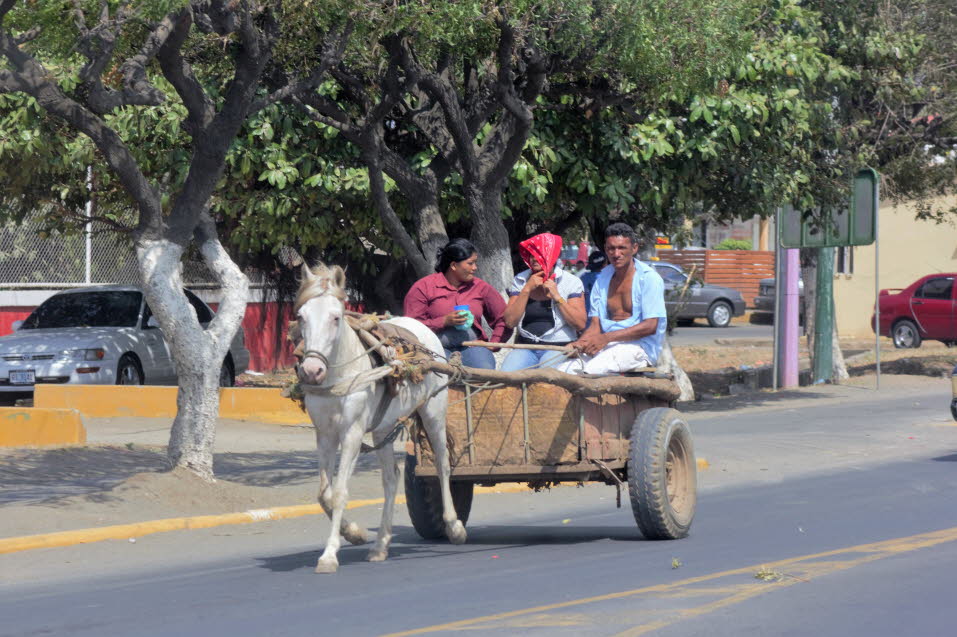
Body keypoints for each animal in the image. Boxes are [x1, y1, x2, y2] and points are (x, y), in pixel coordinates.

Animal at [296, 262, 466, 572]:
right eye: (301, 316)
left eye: (336, 317)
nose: (312, 370)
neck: (341, 374)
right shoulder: (324, 434)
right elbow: (325, 494)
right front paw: (354, 533)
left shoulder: (351, 432)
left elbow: (340, 493)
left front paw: (329, 554)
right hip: (382, 429)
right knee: (391, 477)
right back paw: (380, 545)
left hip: (433, 413)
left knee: (443, 464)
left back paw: (454, 526)